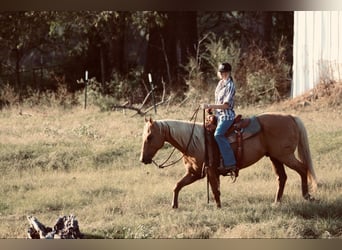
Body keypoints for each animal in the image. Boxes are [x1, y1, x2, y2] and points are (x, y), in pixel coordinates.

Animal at [140, 112, 318, 208]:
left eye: (150, 137)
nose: (143, 159)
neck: (195, 141)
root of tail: (290, 117)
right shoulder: (194, 173)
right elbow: (177, 186)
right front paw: (174, 205)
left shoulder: (210, 171)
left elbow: (215, 190)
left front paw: (218, 207)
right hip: (275, 157)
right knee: (282, 177)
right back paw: (276, 202)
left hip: (285, 156)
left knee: (303, 169)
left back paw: (306, 196)